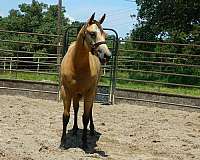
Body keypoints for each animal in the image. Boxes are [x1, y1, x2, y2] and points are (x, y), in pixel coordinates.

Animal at [60, 12, 111, 149]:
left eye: (105, 35)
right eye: (92, 33)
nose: (107, 55)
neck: (76, 64)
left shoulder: (89, 92)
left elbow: (86, 117)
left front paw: (84, 142)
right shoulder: (66, 91)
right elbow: (66, 116)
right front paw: (63, 142)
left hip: (91, 92)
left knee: (90, 109)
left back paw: (91, 130)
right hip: (76, 93)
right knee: (76, 108)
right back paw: (75, 129)